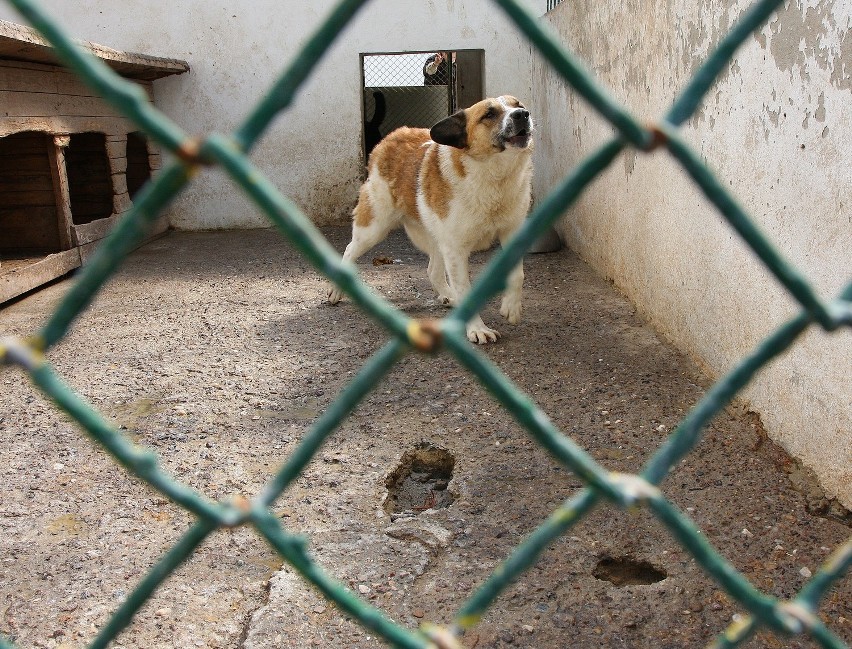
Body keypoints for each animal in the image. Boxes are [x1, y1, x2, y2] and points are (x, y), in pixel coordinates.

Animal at [328, 95, 532, 344]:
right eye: (489, 114)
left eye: (518, 105)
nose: (523, 115)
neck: (494, 177)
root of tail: (391, 137)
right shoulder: (455, 248)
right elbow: (466, 290)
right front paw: (477, 329)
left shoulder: (511, 232)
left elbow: (518, 275)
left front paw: (510, 307)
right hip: (374, 227)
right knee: (349, 249)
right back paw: (337, 289)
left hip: (436, 236)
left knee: (433, 270)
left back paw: (448, 295)